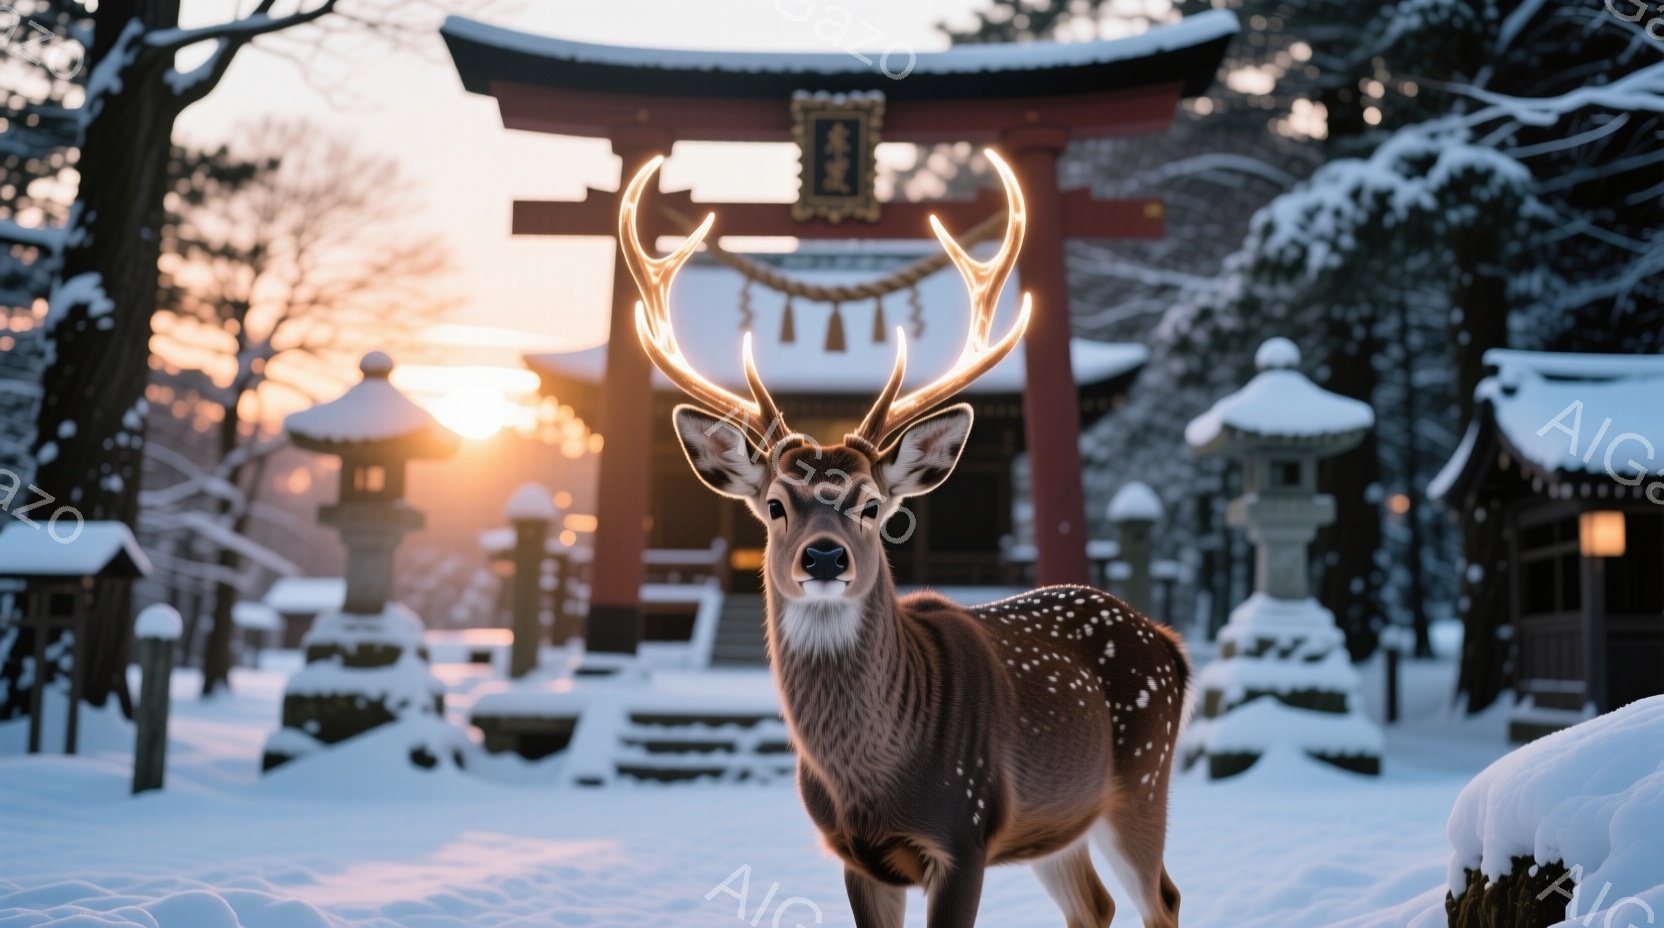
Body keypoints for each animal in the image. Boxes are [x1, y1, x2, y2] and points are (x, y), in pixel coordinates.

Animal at [620, 148, 1192, 928]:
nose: (823, 555)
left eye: (873, 506)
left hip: (1144, 776)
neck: (875, 780)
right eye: (774, 505)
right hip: (1059, 819)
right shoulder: (856, 855)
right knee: (1094, 904)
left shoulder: (965, 831)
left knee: (1162, 896)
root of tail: (1169, 642)